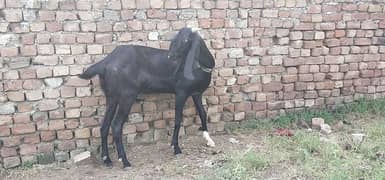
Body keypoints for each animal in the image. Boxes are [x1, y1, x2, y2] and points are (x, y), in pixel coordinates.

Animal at [79, 27, 214, 168]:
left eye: (186, 40)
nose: (170, 56)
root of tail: (106, 62)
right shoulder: (181, 92)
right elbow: (178, 120)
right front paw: (176, 147)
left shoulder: (196, 93)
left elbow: (203, 113)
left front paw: (208, 139)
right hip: (127, 95)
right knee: (116, 125)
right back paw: (125, 160)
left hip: (112, 96)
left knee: (104, 125)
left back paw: (107, 159)